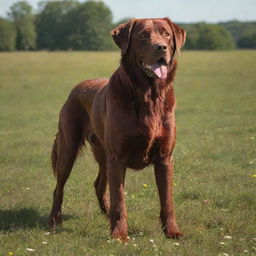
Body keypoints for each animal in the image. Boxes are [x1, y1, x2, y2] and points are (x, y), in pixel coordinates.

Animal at [49, 17, 186, 240]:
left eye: (166, 34)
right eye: (143, 36)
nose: (161, 47)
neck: (148, 97)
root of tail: (76, 88)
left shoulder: (165, 157)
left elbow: (167, 200)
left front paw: (172, 232)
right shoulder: (118, 157)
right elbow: (120, 200)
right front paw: (120, 234)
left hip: (103, 154)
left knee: (99, 184)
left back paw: (106, 215)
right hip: (69, 148)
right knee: (59, 188)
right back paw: (54, 221)